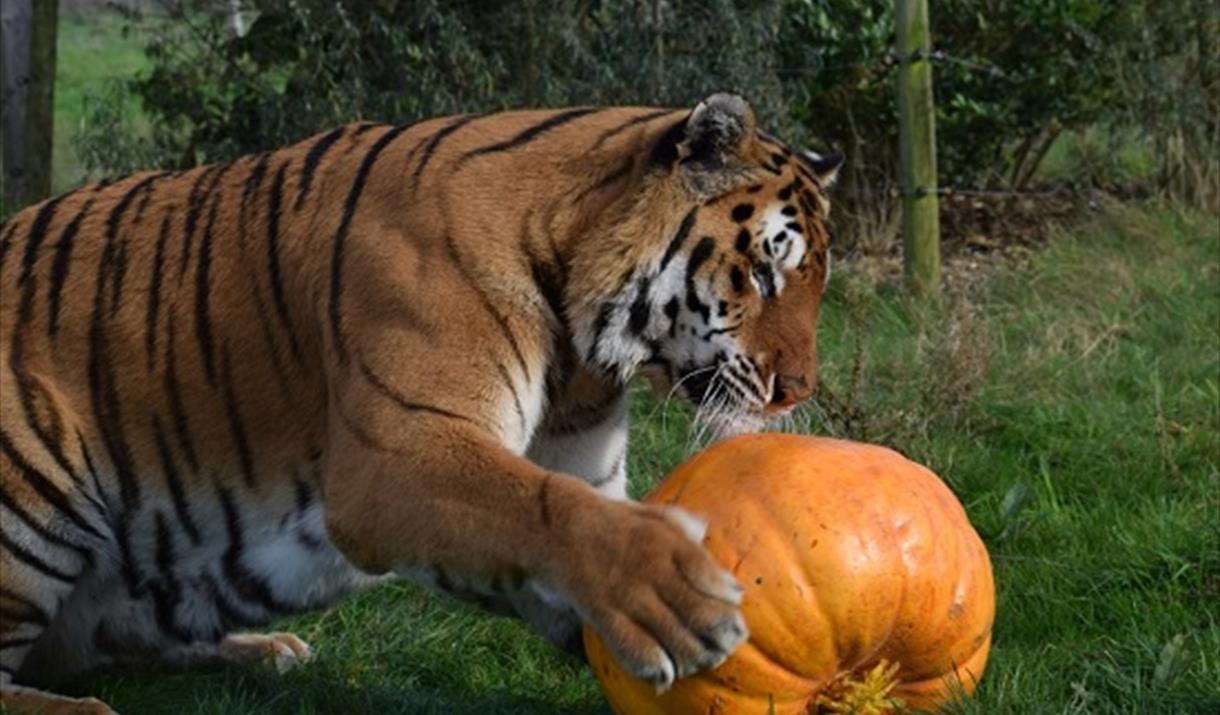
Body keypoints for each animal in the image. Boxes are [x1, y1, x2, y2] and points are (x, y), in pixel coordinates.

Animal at [0, 92, 839, 707]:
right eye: (763, 272)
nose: (797, 390)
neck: (584, 348)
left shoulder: (582, 464)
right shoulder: (392, 458)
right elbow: (541, 507)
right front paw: (674, 592)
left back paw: (265, 650)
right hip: (35, 479)